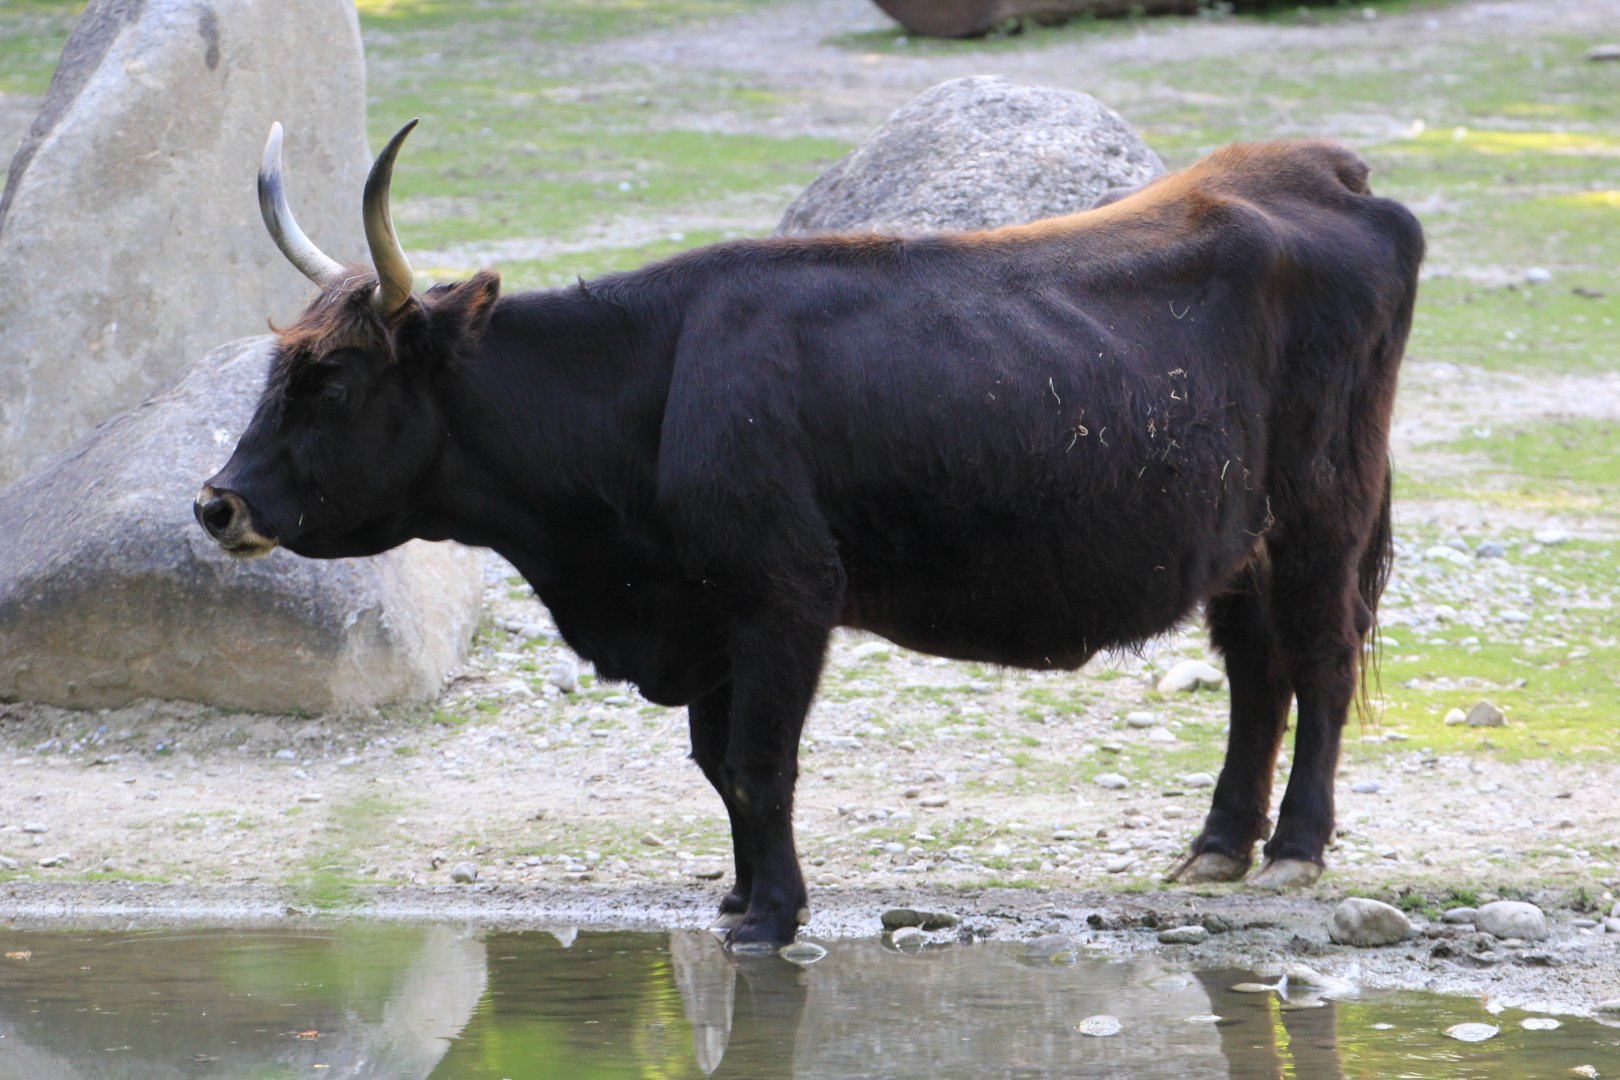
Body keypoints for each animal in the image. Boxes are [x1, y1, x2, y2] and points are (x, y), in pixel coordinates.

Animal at [197, 119, 1423, 949]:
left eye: (336, 380)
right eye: (278, 372)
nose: (218, 503)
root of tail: (1320, 170)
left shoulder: (782, 597)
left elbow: (758, 763)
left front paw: (772, 915)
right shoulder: (705, 623)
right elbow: (716, 764)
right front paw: (741, 894)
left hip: (1323, 515)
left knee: (1318, 664)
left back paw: (1295, 851)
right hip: (1242, 542)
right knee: (1257, 674)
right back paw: (1218, 846)